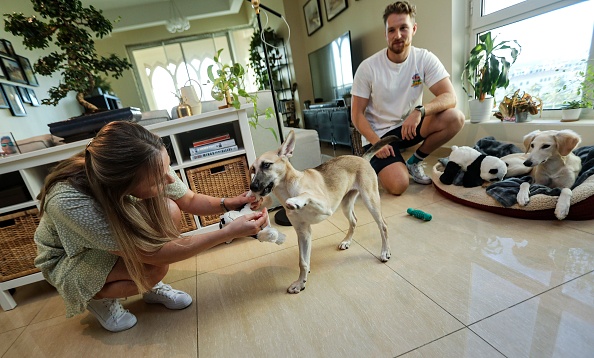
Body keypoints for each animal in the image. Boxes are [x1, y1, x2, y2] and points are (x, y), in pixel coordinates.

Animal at [250, 130, 394, 292]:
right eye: (252, 169)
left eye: (267, 165)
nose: (252, 187)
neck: (287, 189)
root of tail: (361, 158)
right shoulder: (303, 232)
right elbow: (303, 261)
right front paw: (300, 282)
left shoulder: (326, 206)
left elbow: (306, 195)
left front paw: (296, 201)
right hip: (346, 204)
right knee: (354, 221)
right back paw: (346, 241)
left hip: (370, 200)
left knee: (383, 225)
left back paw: (385, 251)